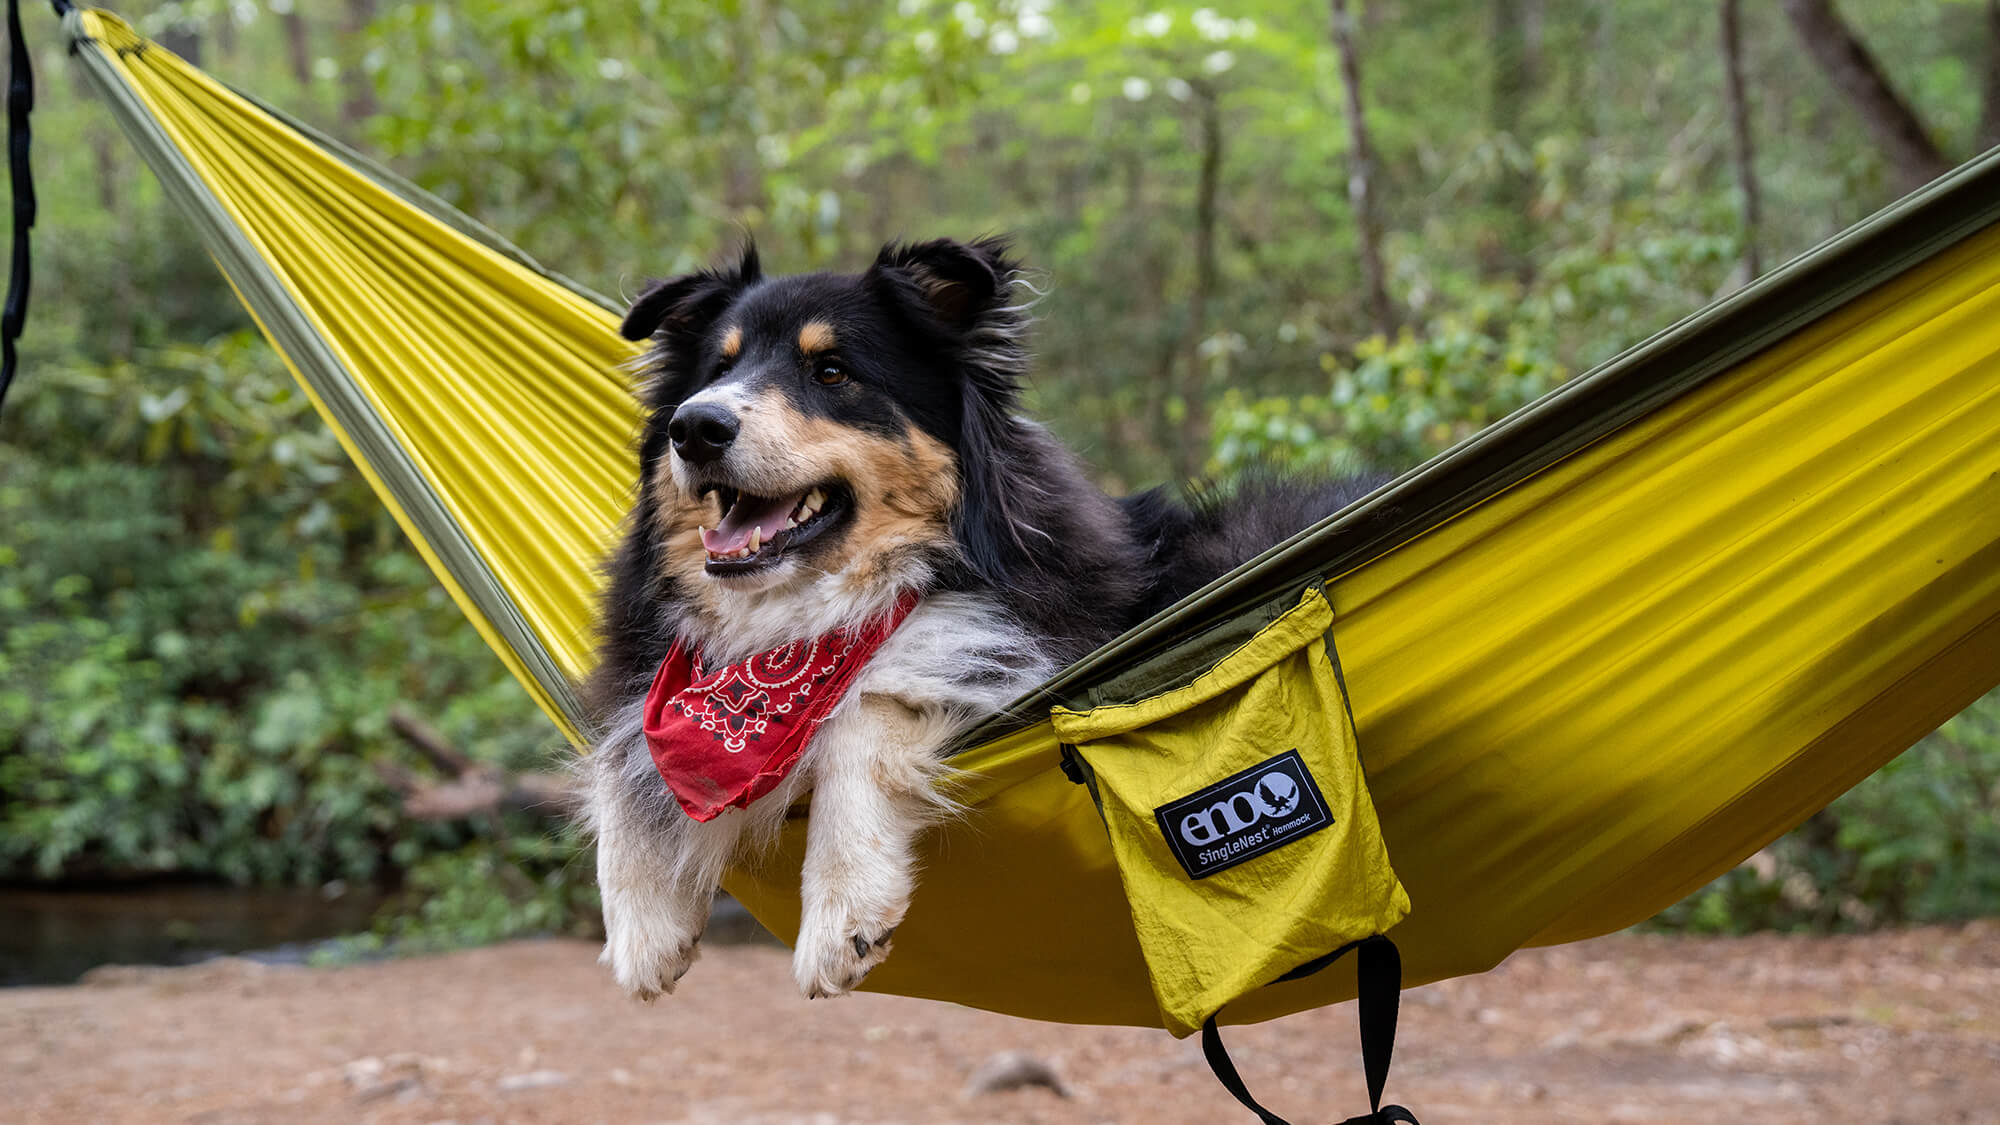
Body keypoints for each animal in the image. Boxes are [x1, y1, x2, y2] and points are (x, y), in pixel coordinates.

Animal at [580, 238, 1376, 996]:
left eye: (832, 372)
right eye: (716, 369)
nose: (694, 426)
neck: (797, 626)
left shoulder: (1012, 649)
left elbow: (867, 709)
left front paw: (841, 917)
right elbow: (624, 761)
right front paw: (642, 929)